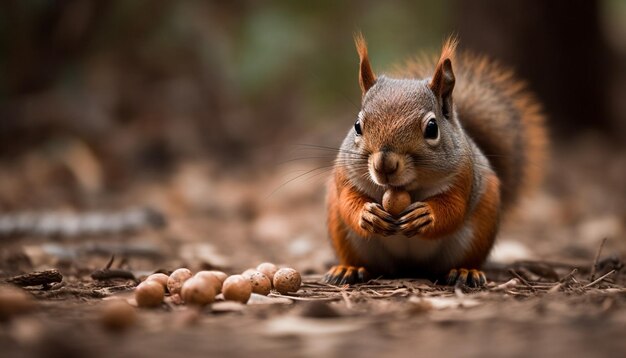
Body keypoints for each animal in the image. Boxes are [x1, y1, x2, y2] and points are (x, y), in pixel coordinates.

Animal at [324, 32, 544, 286]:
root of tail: (408, 267)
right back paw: (349, 268)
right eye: (357, 126)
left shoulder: (464, 177)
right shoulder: (344, 176)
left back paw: (465, 271)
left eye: (432, 128)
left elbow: (454, 207)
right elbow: (348, 200)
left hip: (480, 225)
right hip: (342, 231)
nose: (384, 165)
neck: (407, 188)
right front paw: (367, 214)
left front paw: (426, 215)